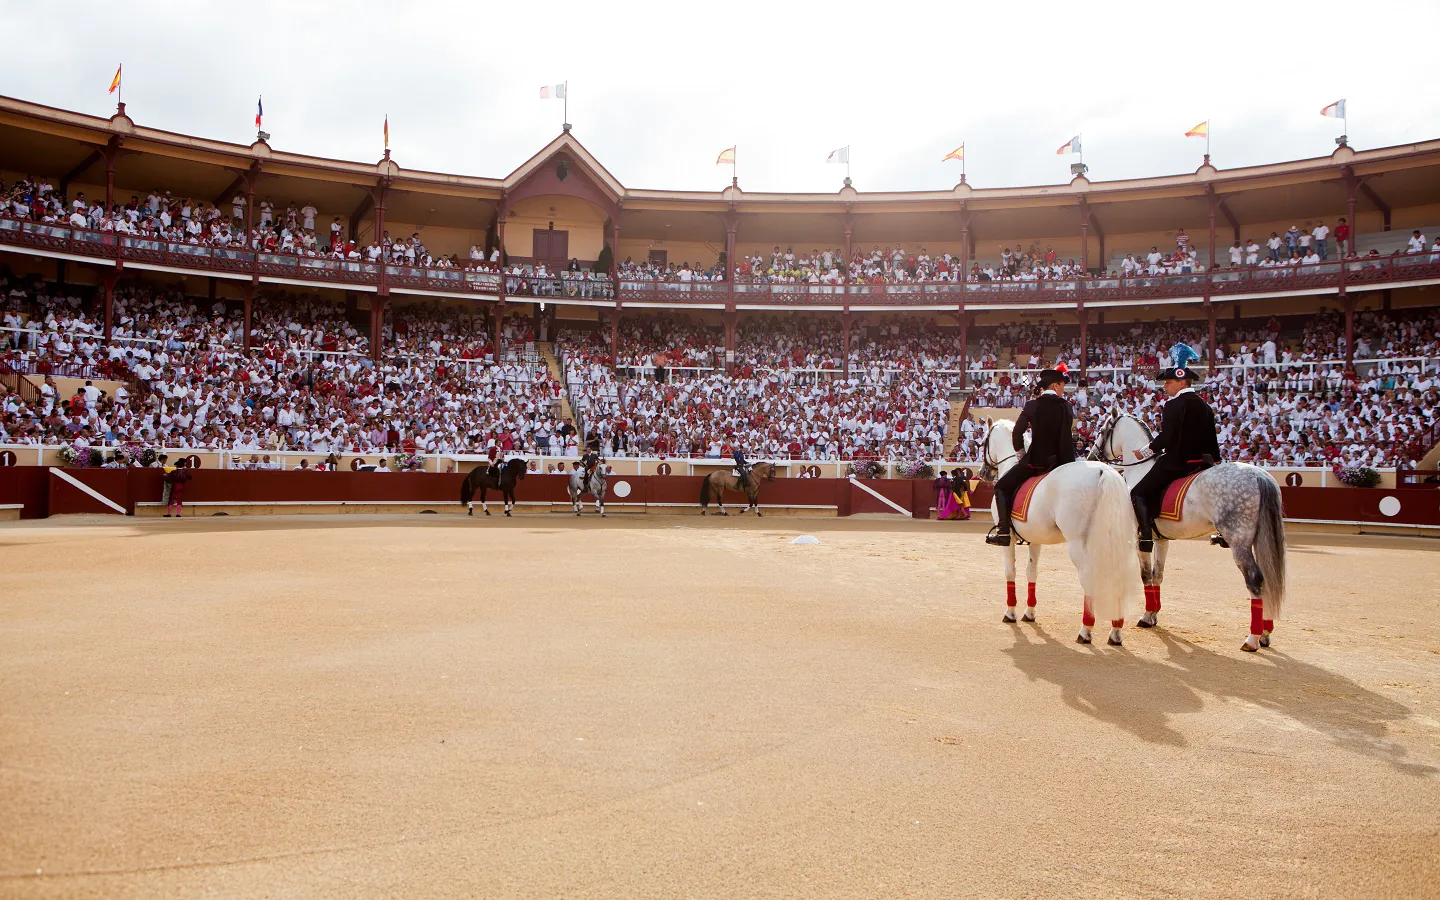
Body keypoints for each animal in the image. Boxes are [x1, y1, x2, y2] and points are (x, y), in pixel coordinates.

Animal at [979, 420, 1134, 645]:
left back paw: (1085, 630)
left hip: (1079, 545)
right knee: (1118, 577)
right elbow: (1032, 571)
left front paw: (1011, 612)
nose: (983, 473)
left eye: (984, 441)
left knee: (1089, 578)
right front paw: (1030, 612)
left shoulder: (1008, 540)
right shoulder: (1035, 540)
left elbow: (1010, 571)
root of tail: (1104, 472)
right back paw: (1115, 631)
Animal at [1094, 411, 1290, 648]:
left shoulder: (1140, 538)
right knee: (1268, 578)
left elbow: (1145, 575)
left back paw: (1252, 639)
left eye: (1102, 430)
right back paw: (1265, 633)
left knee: (1255, 580)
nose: (1093, 454)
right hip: (1260, 540)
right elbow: (1157, 575)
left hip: (1239, 543)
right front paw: (1152, 615)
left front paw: (1146, 616)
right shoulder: (1161, 540)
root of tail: (1259, 475)